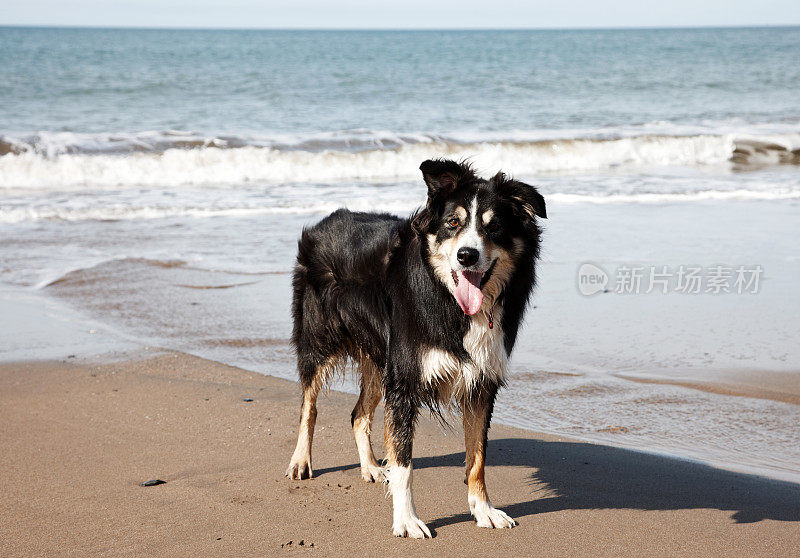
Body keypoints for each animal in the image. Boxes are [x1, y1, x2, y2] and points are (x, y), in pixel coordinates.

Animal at [284, 158, 548, 540]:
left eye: (495, 225)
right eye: (453, 223)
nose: (467, 255)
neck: (447, 298)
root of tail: (326, 221)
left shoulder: (480, 382)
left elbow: (477, 459)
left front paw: (483, 510)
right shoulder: (405, 379)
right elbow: (404, 461)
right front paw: (407, 520)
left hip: (380, 359)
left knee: (358, 414)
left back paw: (371, 467)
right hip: (320, 339)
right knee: (309, 405)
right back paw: (301, 461)